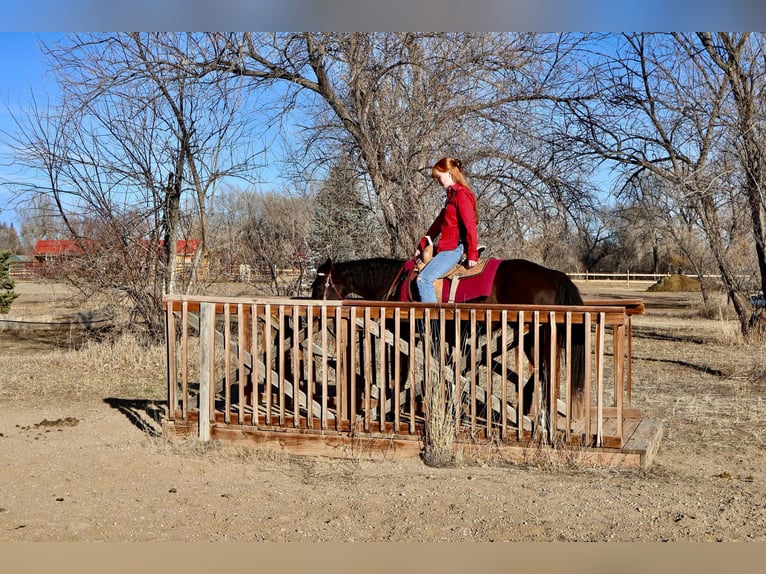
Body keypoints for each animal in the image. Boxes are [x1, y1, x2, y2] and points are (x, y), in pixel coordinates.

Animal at [312, 258, 588, 420]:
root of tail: (553, 275)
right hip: (532, 337)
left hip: (537, 334)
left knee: (545, 372)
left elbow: (402, 373)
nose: (314, 320)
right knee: (543, 373)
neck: (396, 283)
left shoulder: (405, 333)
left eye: (317, 285)